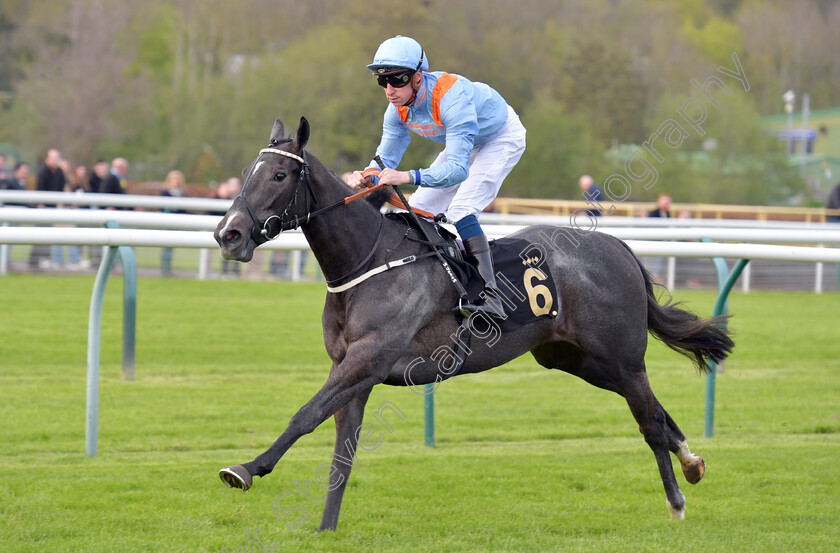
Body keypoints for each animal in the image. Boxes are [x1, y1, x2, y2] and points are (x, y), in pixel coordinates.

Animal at [213, 116, 732, 532]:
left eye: (280, 174)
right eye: (248, 173)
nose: (228, 234)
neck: (369, 261)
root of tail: (618, 246)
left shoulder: (368, 358)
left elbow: (306, 414)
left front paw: (245, 469)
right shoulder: (352, 368)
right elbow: (342, 449)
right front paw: (325, 528)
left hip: (621, 357)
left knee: (647, 421)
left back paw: (677, 501)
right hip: (573, 358)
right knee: (654, 412)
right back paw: (692, 462)